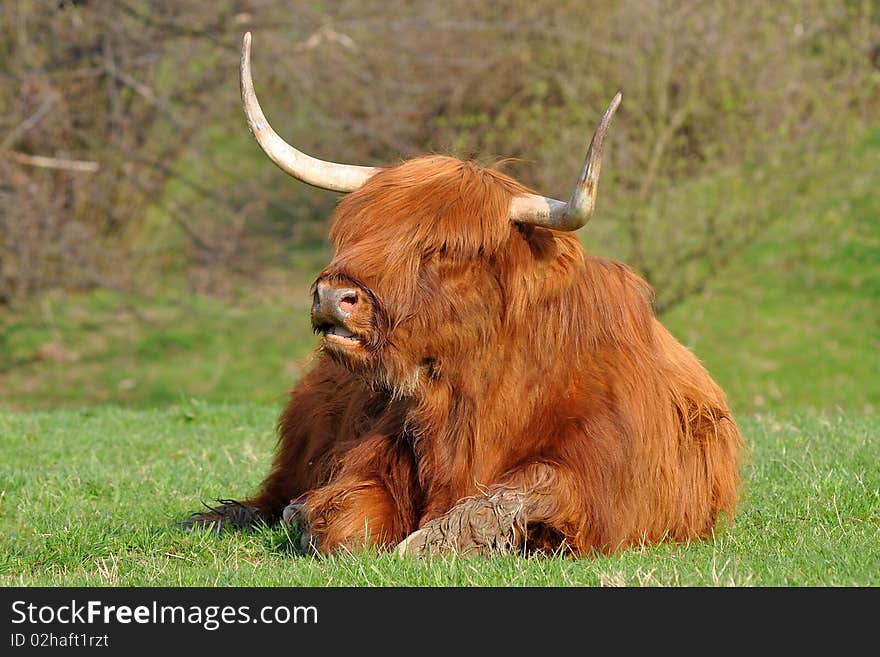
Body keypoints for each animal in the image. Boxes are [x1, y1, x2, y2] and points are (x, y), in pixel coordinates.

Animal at [184, 33, 744, 556]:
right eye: (358, 231)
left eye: (447, 250)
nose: (332, 295)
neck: (472, 394)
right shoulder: (369, 459)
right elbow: (342, 521)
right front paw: (306, 516)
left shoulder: (601, 484)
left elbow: (515, 494)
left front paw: (430, 541)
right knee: (271, 494)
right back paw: (216, 518)